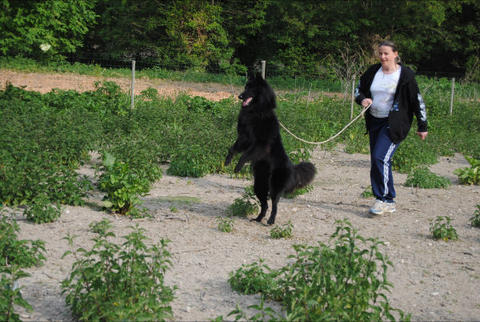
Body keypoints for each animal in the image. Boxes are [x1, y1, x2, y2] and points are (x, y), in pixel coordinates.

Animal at [225, 73, 316, 225]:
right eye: (245, 87)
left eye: (250, 88)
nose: (240, 96)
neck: (256, 111)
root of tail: (292, 167)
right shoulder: (244, 138)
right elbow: (233, 149)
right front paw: (227, 161)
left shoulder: (261, 144)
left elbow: (245, 155)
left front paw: (238, 167)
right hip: (259, 186)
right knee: (265, 205)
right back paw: (258, 219)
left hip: (274, 186)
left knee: (274, 205)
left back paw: (271, 221)